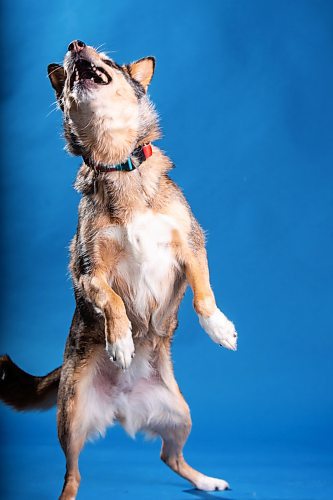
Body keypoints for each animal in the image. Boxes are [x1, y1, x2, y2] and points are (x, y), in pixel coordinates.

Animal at [0, 41, 239, 498]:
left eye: (108, 62)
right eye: (70, 71)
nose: (75, 45)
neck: (118, 162)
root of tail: (121, 406)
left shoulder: (191, 246)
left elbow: (203, 293)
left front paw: (219, 328)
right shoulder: (87, 271)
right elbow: (111, 301)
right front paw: (122, 342)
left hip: (180, 414)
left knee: (170, 457)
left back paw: (206, 480)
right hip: (71, 418)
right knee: (73, 473)